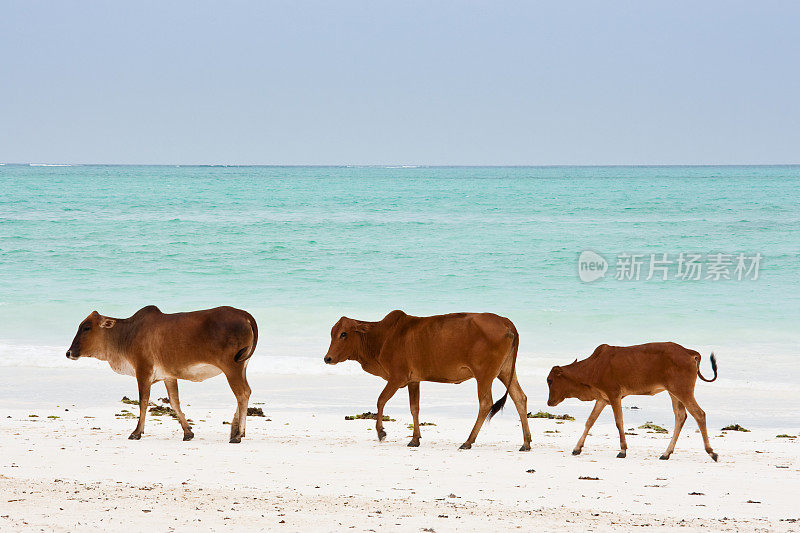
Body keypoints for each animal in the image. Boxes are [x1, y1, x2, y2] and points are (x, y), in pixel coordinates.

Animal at [69, 306, 258, 442]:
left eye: (86, 327)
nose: (68, 352)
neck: (127, 335)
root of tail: (245, 315)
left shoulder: (143, 372)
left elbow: (143, 402)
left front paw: (136, 432)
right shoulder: (169, 376)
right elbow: (174, 402)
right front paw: (188, 432)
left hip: (232, 368)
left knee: (242, 393)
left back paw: (238, 435)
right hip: (242, 367)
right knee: (246, 392)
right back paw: (236, 430)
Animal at [322, 308, 536, 448]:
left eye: (343, 334)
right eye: (332, 333)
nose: (327, 358)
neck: (383, 337)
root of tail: (506, 321)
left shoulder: (397, 378)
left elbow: (380, 400)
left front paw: (381, 431)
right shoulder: (413, 380)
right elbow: (414, 408)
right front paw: (415, 439)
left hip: (484, 375)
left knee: (485, 403)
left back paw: (468, 441)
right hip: (505, 371)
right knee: (520, 398)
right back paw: (526, 442)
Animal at [548, 342, 716, 460]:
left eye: (550, 380)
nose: (549, 403)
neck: (594, 366)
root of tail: (689, 352)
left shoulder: (614, 395)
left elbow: (618, 422)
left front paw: (622, 450)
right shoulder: (602, 399)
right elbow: (590, 421)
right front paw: (577, 448)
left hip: (682, 391)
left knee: (699, 414)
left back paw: (711, 452)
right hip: (674, 393)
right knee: (681, 416)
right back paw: (666, 453)